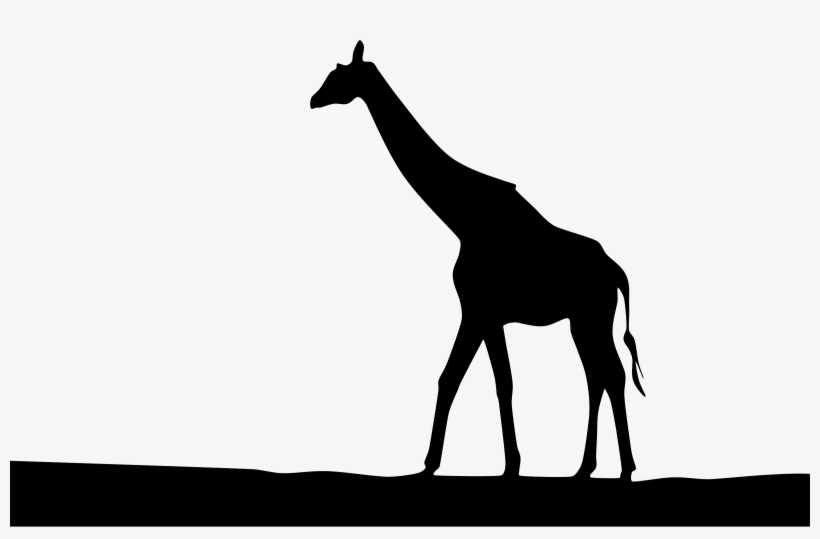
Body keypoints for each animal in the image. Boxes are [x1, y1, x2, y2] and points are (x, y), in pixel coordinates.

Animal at [311, 42, 645, 480]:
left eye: (339, 76)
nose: (313, 99)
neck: (462, 217)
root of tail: (617, 272)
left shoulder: (477, 309)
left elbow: (478, 380)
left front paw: (489, 466)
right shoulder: (484, 314)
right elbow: (467, 380)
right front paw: (467, 465)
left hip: (592, 317)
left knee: (612, 375)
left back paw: (624, 469)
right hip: (581, 321)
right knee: (598, 376)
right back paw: (585, 468)